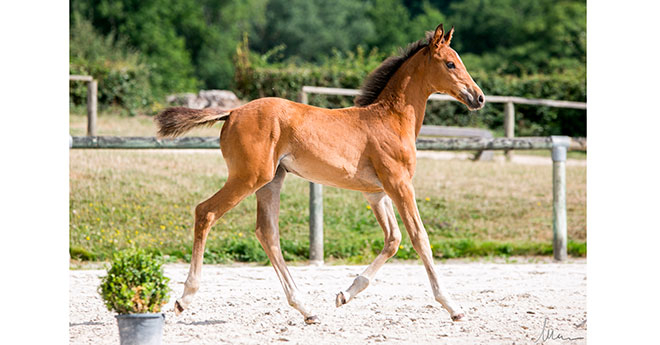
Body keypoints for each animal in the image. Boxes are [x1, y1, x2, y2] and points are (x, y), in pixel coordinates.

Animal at [155, 25, 484, 324]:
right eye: (450, 63)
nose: (478, 97)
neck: (390, 119)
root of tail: (232, 112)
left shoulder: (376, 193)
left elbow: (393, 239)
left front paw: (344, 295)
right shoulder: (400, 184)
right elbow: (419, 237)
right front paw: (453, 307)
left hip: (271, 181)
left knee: (267, 232)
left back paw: (306, 309)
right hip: (248, 178)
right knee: (206, 212)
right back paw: (184, 299)